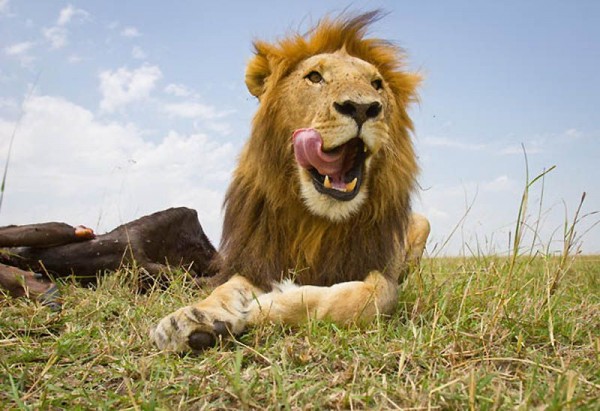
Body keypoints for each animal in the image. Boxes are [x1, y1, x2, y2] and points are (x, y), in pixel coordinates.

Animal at [150, 11, 432, 352]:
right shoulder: (258, 262)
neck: (318, 221)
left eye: (377, 84)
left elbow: (362, 299)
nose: (363, 107)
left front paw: (265, 306)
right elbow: (226, 289)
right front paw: (192, 319)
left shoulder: (383, 276)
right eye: (314, 77)